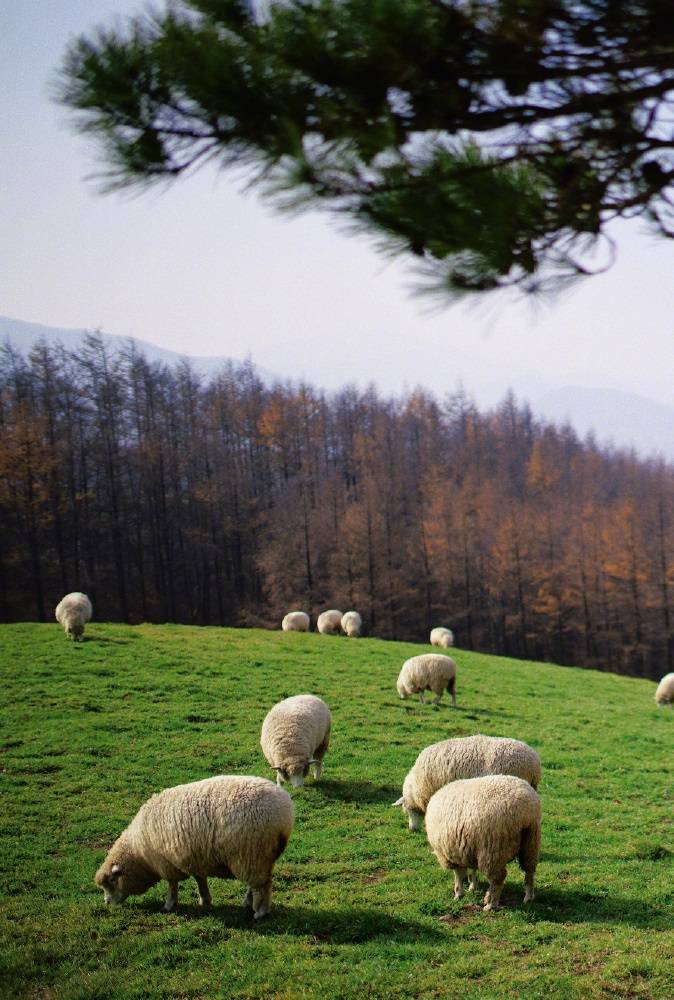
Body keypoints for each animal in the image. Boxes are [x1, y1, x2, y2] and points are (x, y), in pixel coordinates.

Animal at [92, 772, 292, 920]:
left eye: (112, 880)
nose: (107, 903)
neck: (139, 852)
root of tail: (285, 813)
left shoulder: (167, 863)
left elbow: (172, 885)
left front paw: (169, 905)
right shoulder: (194, 858)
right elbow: (200, 880)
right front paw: (205, 900)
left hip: (251, 853)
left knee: (262, 886)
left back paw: (260, 912)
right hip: (260, 857)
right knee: (258, 883)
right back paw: (248, 903)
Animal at [426, 772, 540, 916]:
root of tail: (526, 812)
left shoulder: (450, 853)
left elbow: (458, 874)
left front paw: (458, 893)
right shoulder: (467, 848)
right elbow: (471, 870)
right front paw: (472, 886)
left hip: (493, 848)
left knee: (498, 878)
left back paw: (491, 904)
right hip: (531, 841)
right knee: (529, 870)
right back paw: (528, 897)